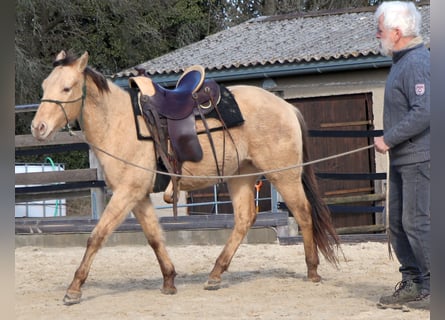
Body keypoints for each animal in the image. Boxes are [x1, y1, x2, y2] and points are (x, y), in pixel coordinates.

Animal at [30, 50, 340, 304]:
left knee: (303, 212)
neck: (119, 123)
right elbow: (154, 238)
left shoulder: (126, 193)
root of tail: (286, 106)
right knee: (244, 219)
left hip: (284, 175)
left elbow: (97, 236)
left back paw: (312, 270)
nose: (37, 127)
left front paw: (74, 289)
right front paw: (169, 280)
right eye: (44, 86)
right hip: (241, 176)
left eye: (67, 87)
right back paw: (215, 274)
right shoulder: (138, 196)